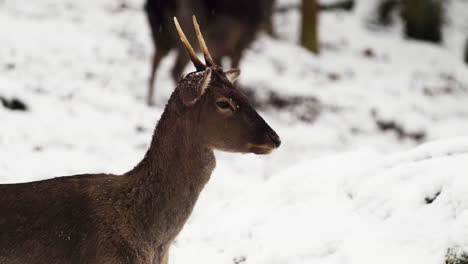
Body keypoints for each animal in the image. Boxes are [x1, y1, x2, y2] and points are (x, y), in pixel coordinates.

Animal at [144, 0, 274, 105]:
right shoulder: (239, 42)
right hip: (187, 34)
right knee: (175, 68)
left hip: (161, 35)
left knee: (156, 59)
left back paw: (150, 99)